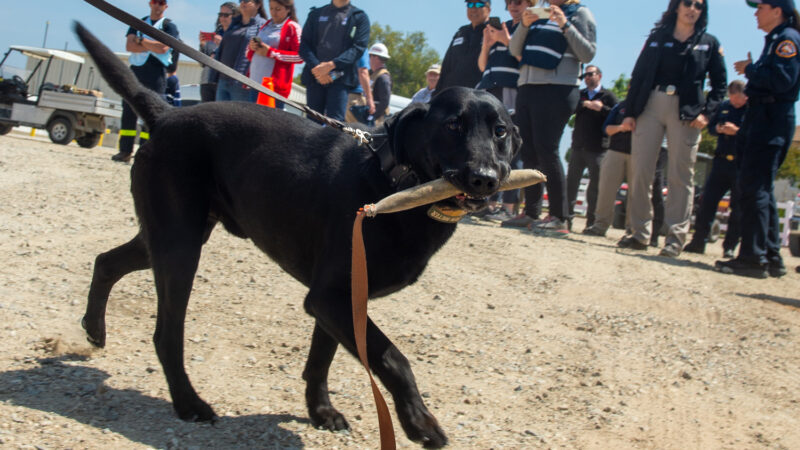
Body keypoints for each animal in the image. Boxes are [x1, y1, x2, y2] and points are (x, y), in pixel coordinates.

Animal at [75, 22, 520, 446]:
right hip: (179, 246)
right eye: (452, 125)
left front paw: (320, 411)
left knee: (105, 261)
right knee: (166, 334)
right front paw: (419, 422)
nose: (485, 178)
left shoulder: (341, 302)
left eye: (500, 131)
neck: (394, 184)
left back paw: (94, 329)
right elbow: (393, 358)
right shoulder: (329, 298)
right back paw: (189, 403)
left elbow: (320, 361)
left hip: (170, 236)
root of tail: (167, 114)